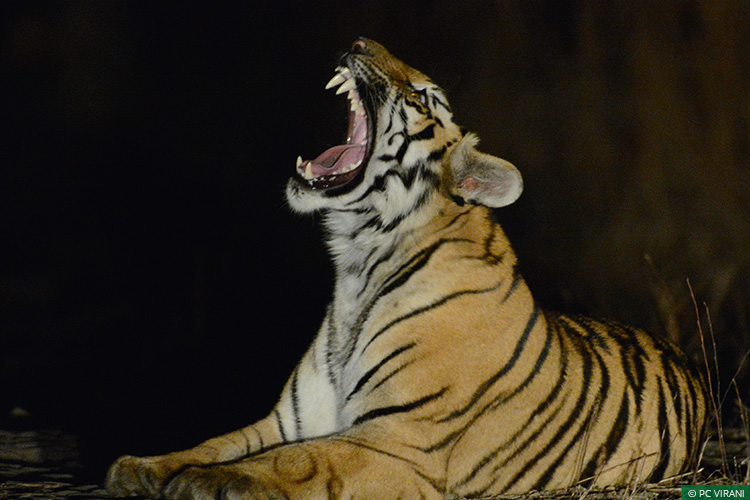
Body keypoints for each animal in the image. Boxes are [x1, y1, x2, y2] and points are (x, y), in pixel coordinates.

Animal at [106, 38, 708, 500]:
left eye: (423, 96)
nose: (358, 43)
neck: (356, 263)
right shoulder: (291, 420)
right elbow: (217, 441)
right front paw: (141, 466)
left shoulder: (401, 440)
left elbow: (296, 461)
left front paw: (207, 482)